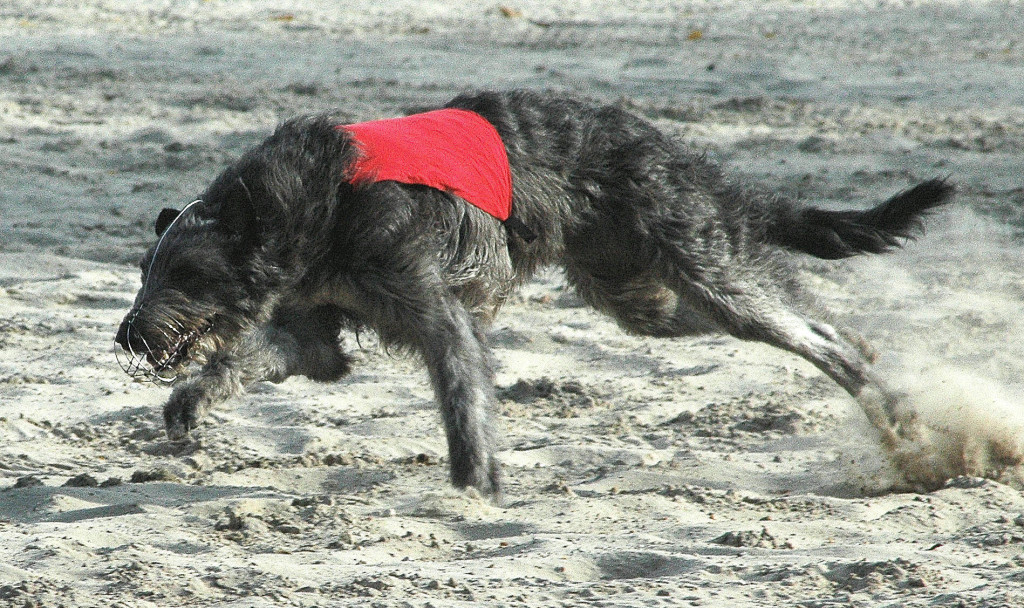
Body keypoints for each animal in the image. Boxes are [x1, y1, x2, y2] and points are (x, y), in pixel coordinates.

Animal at [116, 90, 954, 497]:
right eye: (146, 269)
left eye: (185, 274)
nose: (130, 335)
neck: (308, 202)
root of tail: (675, 153)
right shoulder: (312, 327)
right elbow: (271, 357)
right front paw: (189, 404)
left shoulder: (437, 311)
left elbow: (462, 400)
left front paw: (473, 488)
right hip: (638, 292)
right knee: (792, 307)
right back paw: (879, 381)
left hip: (700, 264)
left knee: (803, 328)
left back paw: (884, 398)